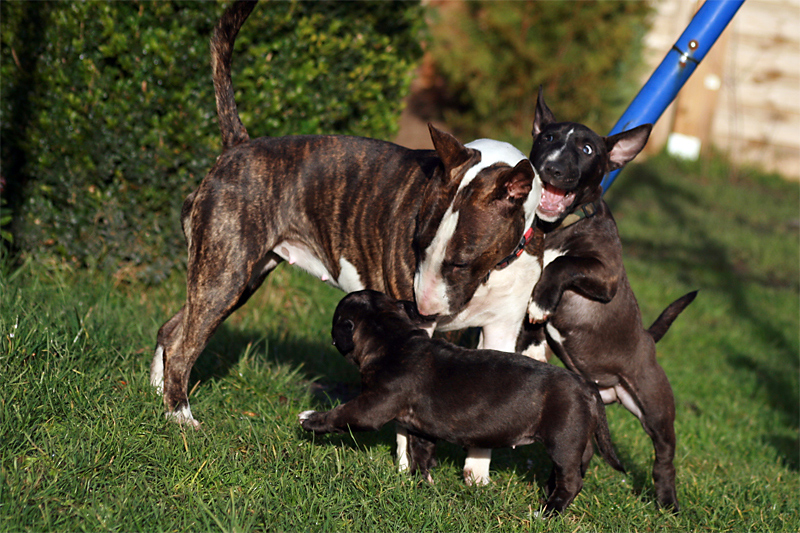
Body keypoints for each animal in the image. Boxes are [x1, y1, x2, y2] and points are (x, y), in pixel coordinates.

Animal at [298, 290, 624, 516]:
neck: (392, 339)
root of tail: (587, 387)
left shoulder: (370, 407)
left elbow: (342, 414)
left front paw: (310, 419)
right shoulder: (420, 428)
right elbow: (420, 456)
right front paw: (421, 485)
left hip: (562, 440)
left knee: (571, 481)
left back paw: (547, 513)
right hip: (575, 442)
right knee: (572, 470)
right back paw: (548, 494)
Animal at [520, 88, 692, 512]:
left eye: (586, 149)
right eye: (547, 138)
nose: (551, 169)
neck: (557, 228)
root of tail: (649, 340)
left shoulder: (606, 275)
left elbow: (563, 264)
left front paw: (542, 303)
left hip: (655, 407)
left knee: (664, 455)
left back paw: (666, 500)